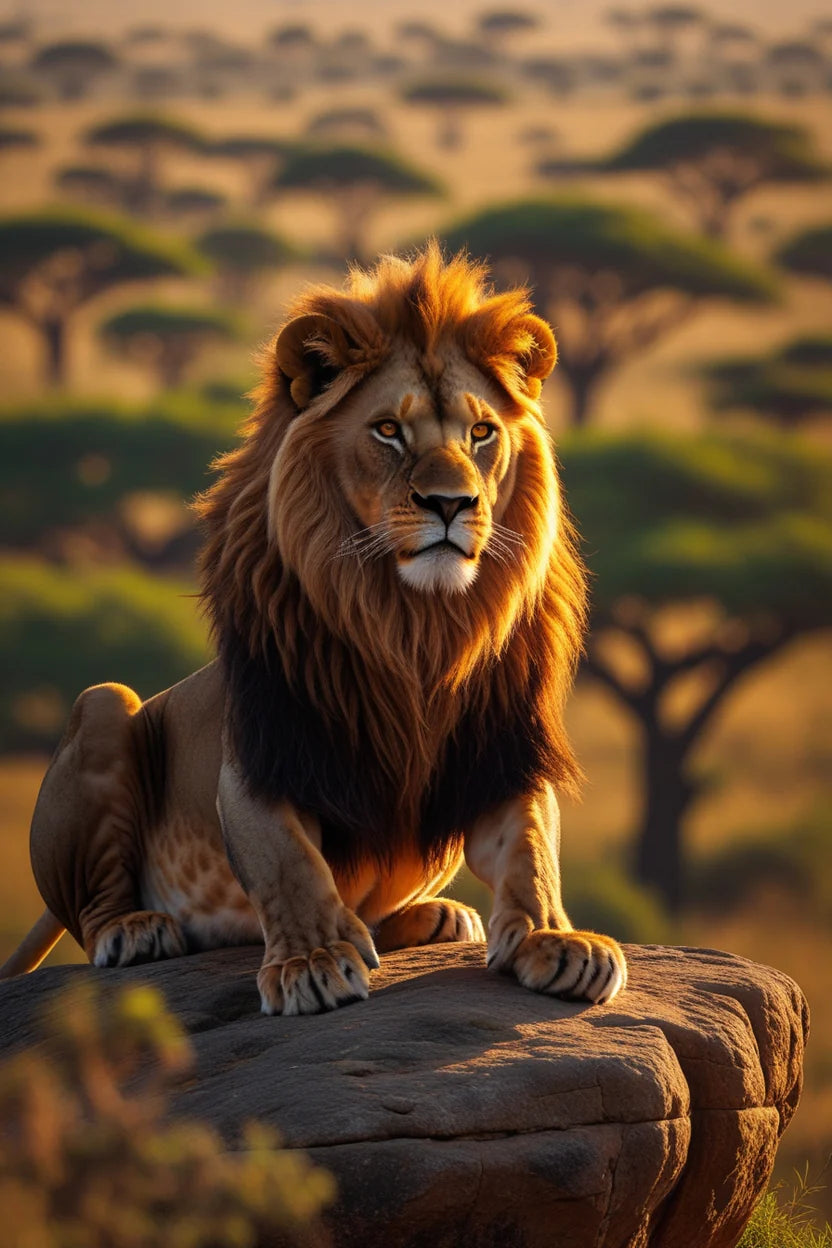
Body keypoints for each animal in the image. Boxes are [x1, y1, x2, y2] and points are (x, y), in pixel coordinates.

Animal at [1, 244, 627, 1014]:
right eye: (388, 430)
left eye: (482, 433)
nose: (451, 503)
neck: (415, 626)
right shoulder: (265, 752)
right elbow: (288, 862)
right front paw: (314, 960)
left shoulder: (500, 751)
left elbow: (532, 849)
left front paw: (556, 941)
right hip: (103, 705)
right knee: (93, 910)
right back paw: (135, 928)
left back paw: (439, 917)